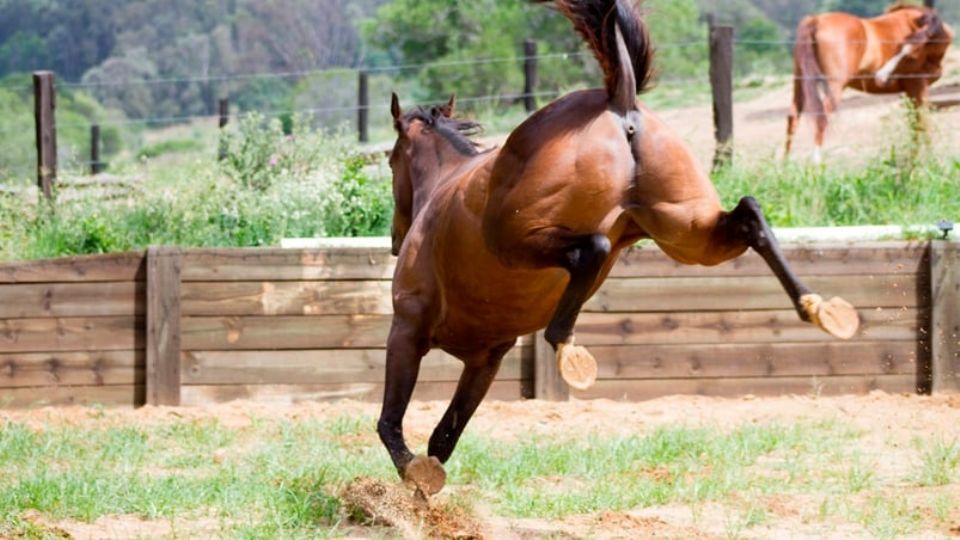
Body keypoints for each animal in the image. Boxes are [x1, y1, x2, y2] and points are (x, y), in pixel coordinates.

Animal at [378, 0, 860, 498]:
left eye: (390, 160)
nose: (395, 238)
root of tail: (619, 100)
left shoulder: (410, 328)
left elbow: (391, 424)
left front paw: (414, 477)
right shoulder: (486, 356)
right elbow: (443, 438)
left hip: (514, 239)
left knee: (592, 247)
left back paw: (567, 346)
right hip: (686, 233)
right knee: (749, 214)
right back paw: (820, 307)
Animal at [784, 3, 956, 161]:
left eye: (911, 56)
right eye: (900, 47)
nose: (880, 78)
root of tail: (816, 20)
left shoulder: (909, 93)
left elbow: (915, 125)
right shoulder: (918, 86)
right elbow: (923, 124)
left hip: (800, 83)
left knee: (793, 118)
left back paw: (785, 167)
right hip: (834, 87)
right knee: (821, 119)